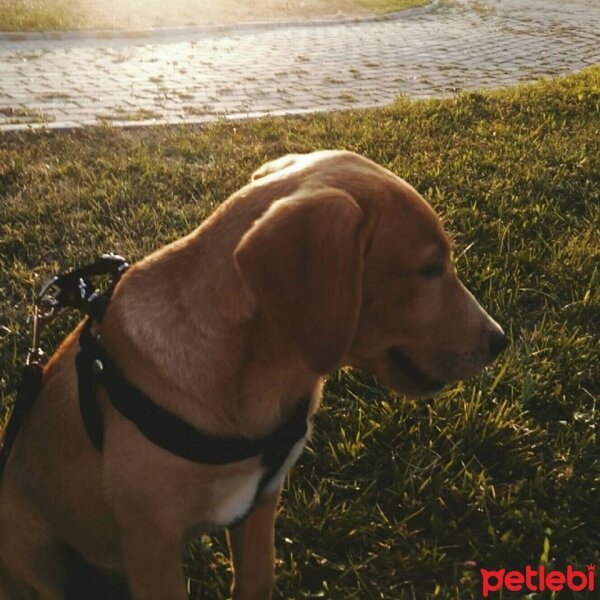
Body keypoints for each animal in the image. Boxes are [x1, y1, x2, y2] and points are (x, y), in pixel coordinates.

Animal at [0, 151, 506, 600]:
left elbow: (257, 582)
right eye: (428, 270)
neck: (258, 378)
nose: (500, 341)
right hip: (29, 546)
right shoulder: (151, 544)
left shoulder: (261, 503)